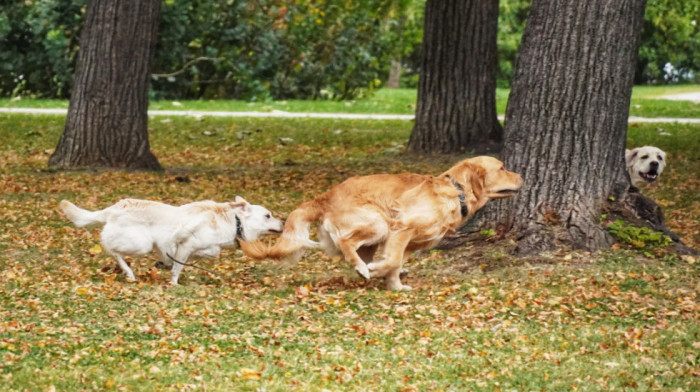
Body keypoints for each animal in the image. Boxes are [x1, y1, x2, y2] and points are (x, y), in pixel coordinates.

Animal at [57, 198, 282, 284]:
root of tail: (113, 208)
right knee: (111, 249)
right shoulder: (186, 243)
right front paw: (173, 282)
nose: (282, 223)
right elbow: (180, 267)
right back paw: (128, 272)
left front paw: (164, 264)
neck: (234, 221)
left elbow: (206, 253)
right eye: (268, 215)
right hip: (141, 244)